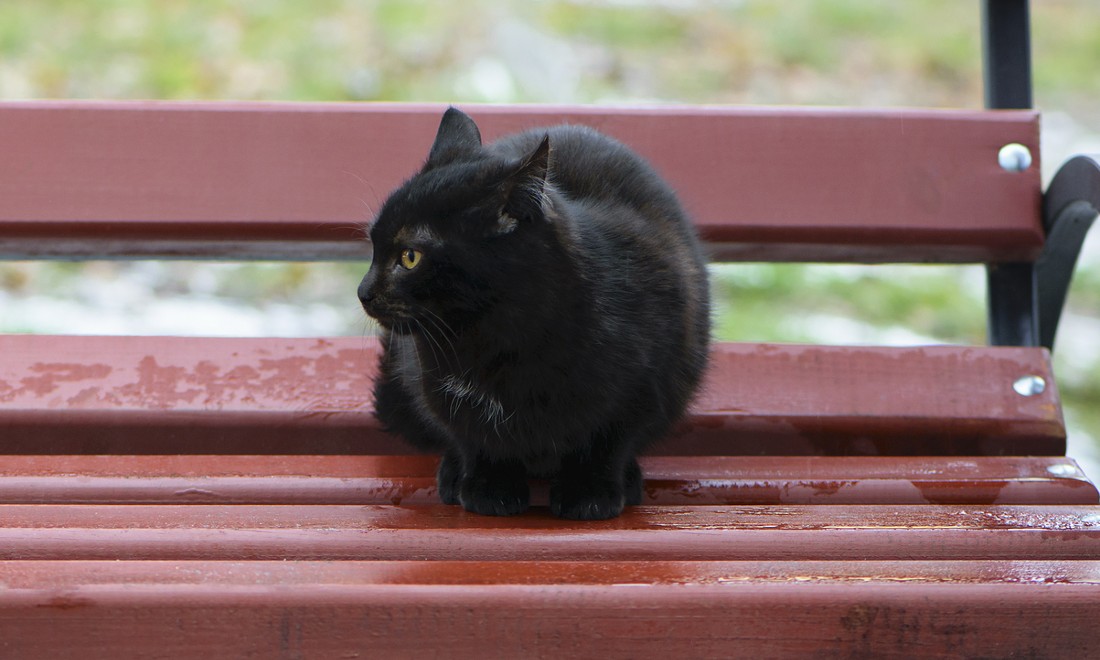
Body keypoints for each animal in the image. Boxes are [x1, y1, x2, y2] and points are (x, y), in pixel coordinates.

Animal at [356, 108, 708, 521]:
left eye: (410, 257)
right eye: (373, 245)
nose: (363, 292)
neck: (495, 337)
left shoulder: (644, 386)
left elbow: (608, 443)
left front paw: (589, 493)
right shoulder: (438, 386)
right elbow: (475, 440)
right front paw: (489, 488)